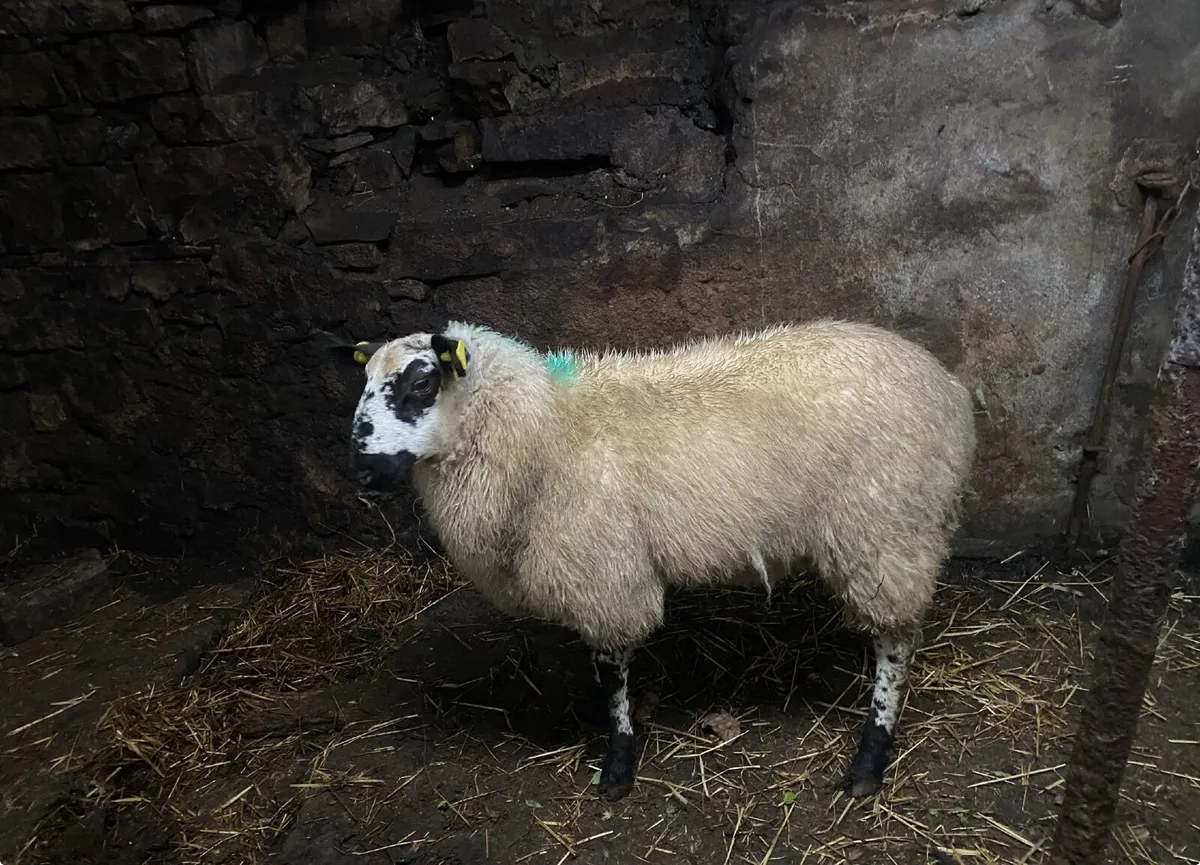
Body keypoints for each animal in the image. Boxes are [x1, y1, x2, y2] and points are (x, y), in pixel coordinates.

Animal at [345, 319, 977, 801]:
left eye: (421, 381)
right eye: (366, 381)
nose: (362, 469)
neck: (546, 428)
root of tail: (948, 387)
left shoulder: (604, 570)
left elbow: (613, 671)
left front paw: (618, 762)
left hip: (888, 526)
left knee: (896, 643)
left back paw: (870, 758)